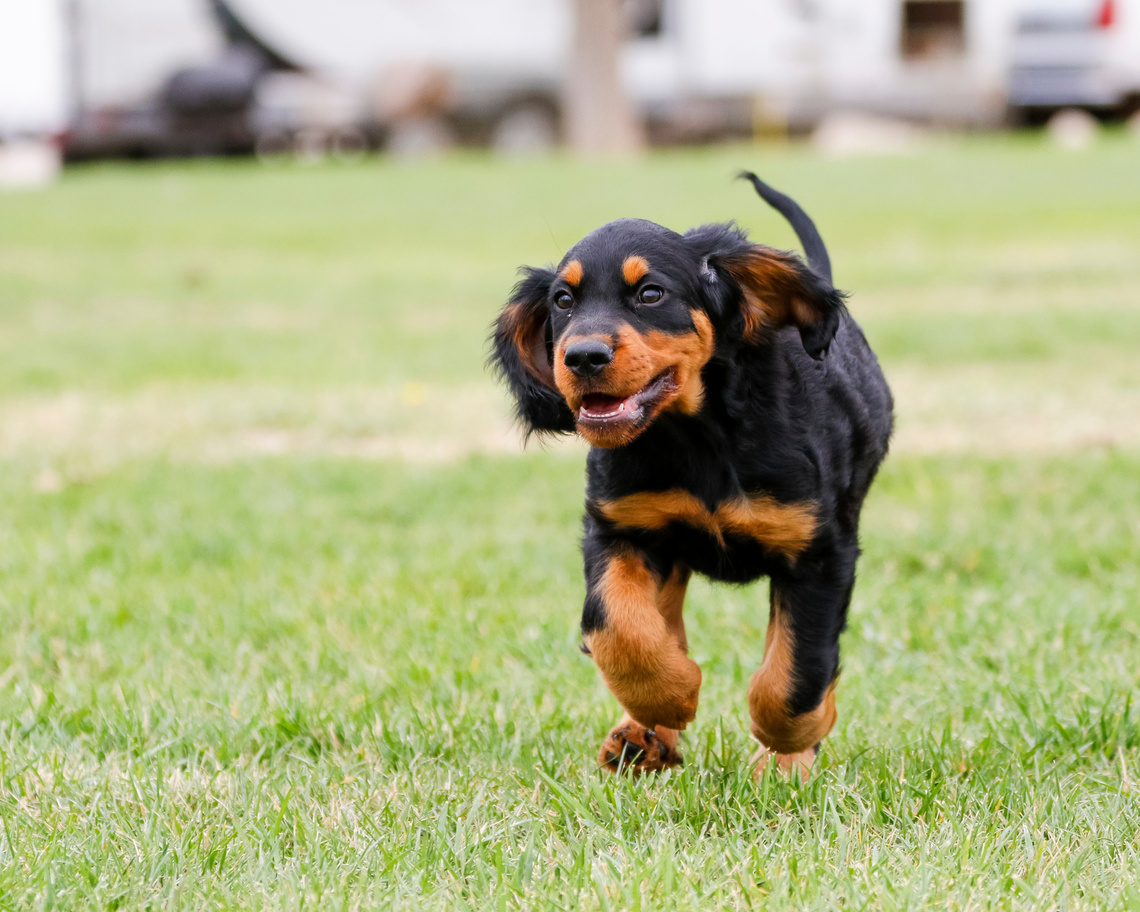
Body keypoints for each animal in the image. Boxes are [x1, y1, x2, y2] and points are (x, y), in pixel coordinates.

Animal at [490, 173, 889, 775]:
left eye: (650, 294)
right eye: (563, 300)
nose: (581, 357)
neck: (697, 435)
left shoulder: (820, 551)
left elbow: (797, 672)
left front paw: (791, 749)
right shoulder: (620, 528)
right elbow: (617, 626)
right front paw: (668, 697)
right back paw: (640, 734)